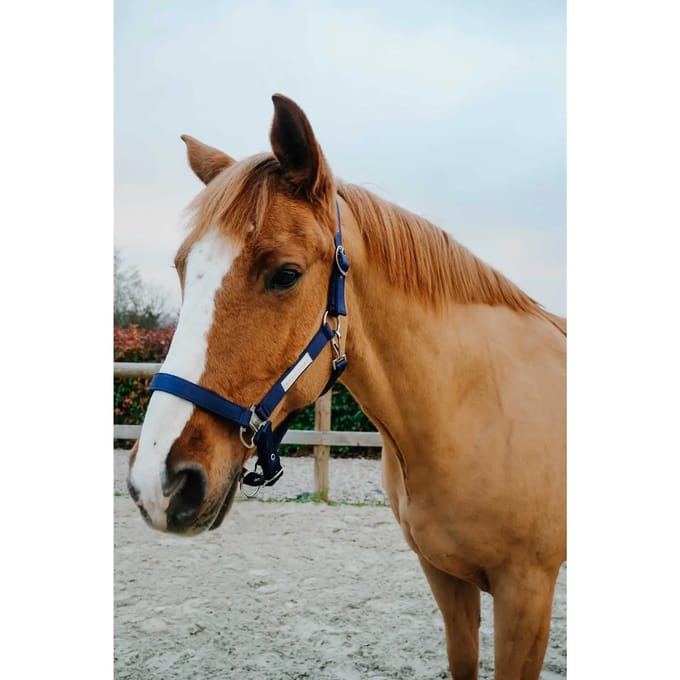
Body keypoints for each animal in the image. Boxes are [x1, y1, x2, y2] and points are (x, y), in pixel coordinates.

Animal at [127, 94, 566, 679]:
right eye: (181, 267)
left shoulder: (527, 595)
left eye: (286, 274)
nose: (158, 483)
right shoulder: (446, 579)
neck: (475, 408)